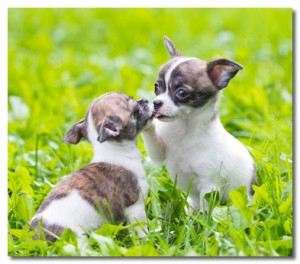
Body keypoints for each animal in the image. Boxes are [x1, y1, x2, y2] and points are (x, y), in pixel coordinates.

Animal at [30, 92, 152, 240]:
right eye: (136, 111)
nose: (145, 100)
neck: (114, 151)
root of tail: (36, 235)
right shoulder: (136, 207)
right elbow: (140, 229)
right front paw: (147, 239)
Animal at [142, 36, 256, 210]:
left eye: (181, 92)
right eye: (157, 87)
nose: (156, 103)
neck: (184, 127)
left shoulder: (208, 184)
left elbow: (206, 209)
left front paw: (202, 218)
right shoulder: (159, 152)